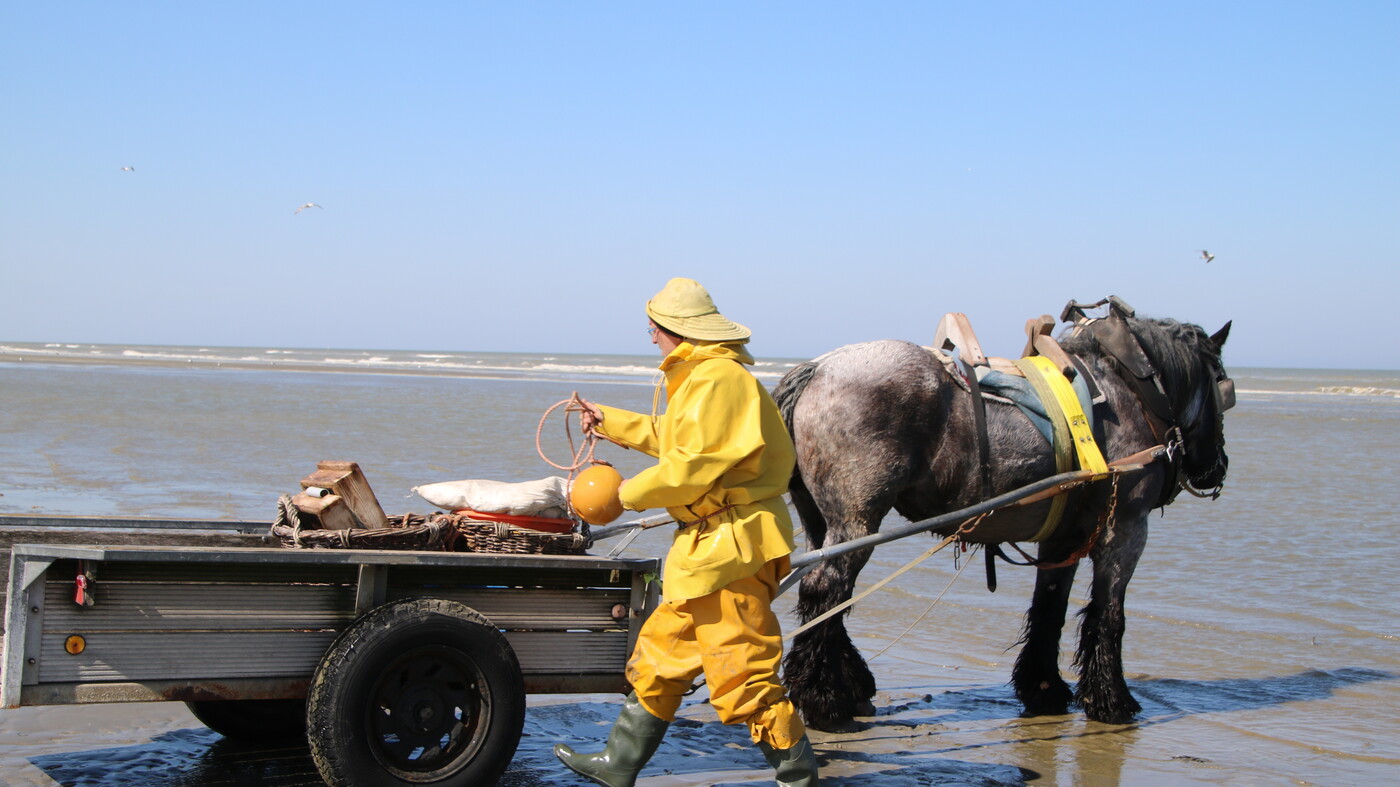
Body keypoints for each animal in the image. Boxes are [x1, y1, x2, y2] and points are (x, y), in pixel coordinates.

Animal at [773, 301, 1233, 729]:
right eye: (1224, 389)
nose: (1219, 467)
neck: (1131, 391)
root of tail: (817, 368)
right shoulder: (1126, 529)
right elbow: (1109, 615)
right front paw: (1112, 701)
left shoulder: (1062, 540)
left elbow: (1050, 608)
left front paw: (1043, 688)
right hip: (857, 520)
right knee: (825, 590)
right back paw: (825, 699)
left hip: (822, 521)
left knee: (825, 594)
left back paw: (844, 686)